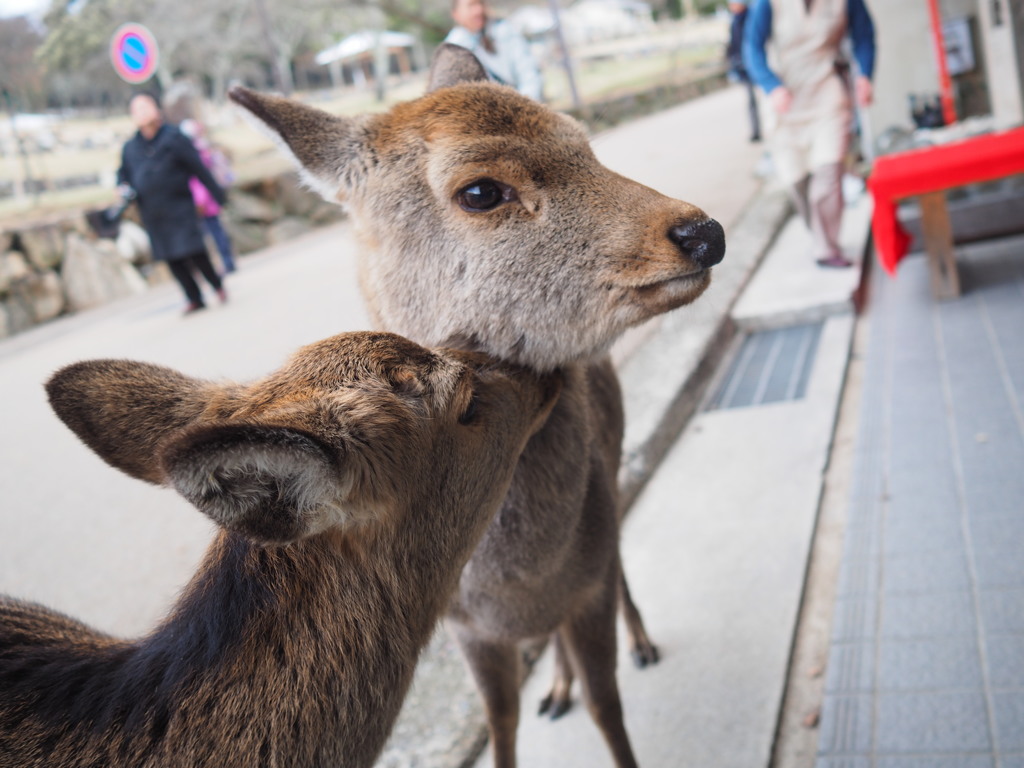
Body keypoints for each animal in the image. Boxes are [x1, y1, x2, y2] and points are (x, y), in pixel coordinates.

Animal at [232, 43, 729, 768]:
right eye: (480, 191)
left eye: (587, 146)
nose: (704, 233)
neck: (512, 586)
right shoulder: (467, 630)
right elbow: (502, 722)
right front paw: (547, 696)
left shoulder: (589, 582)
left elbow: (609, 710)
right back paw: (556, 686)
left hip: (613, 473)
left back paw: (640, 644)